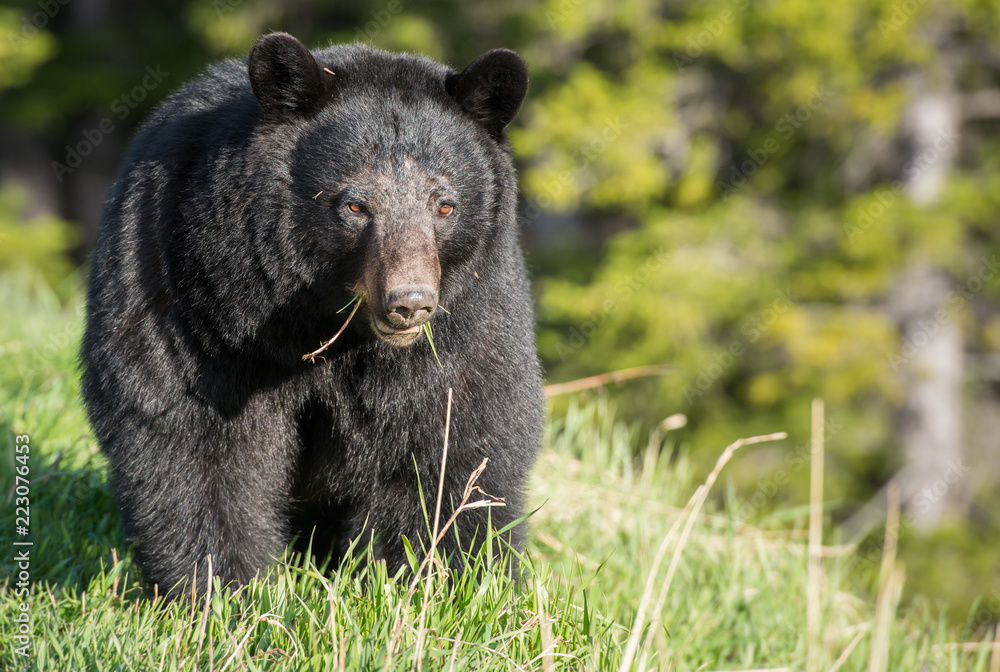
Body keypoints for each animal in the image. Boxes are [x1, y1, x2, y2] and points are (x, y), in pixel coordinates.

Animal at [80, 32, 545, 599]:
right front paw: (222, 592)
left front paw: (439, 586)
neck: (319, 324)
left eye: (445, 206)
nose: (409, 301)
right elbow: (194, 444)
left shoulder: (470, 323)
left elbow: (453, 445)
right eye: (354, 206)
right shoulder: (192, 305)